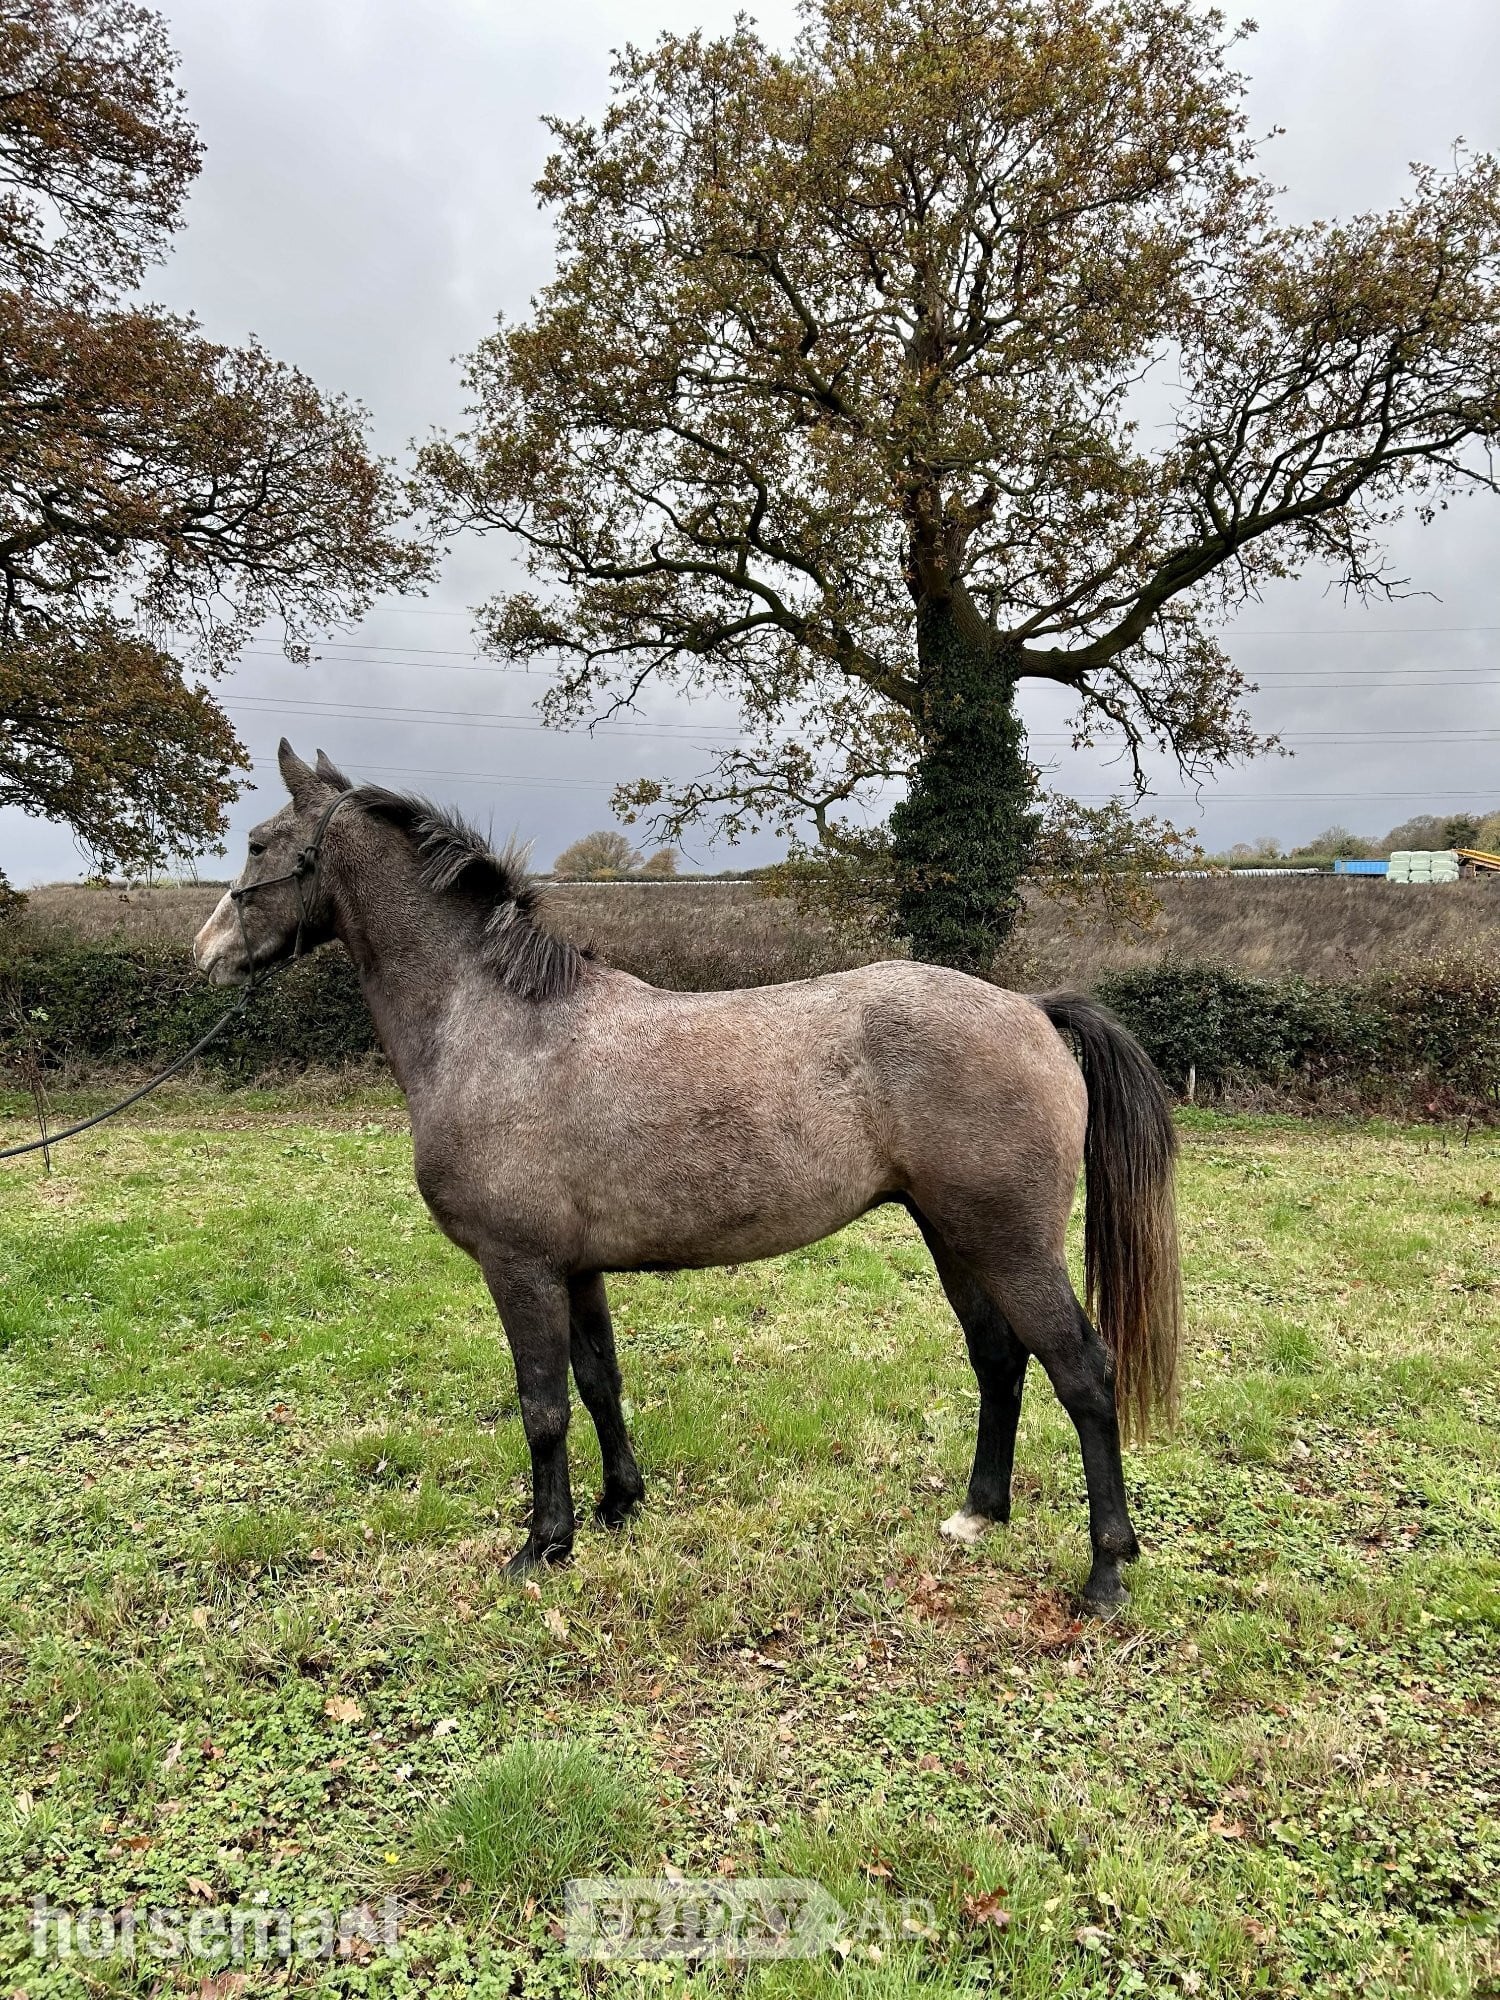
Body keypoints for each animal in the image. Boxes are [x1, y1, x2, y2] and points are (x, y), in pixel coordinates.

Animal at [193, 741, 1181, 1610]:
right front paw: (617, 1505)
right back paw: (978, 1515)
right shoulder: (574, 1270)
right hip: (953, 1234)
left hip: (1009, 1243)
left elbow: (542, 1406)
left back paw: (1106, 1573)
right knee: (999, 1359)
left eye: (258, 843)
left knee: (1082, 1373)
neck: (497, 1026)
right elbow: (598, 1383)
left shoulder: (519, 1270)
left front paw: (541, 1546)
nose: (206, 954)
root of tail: (1033, 1010)